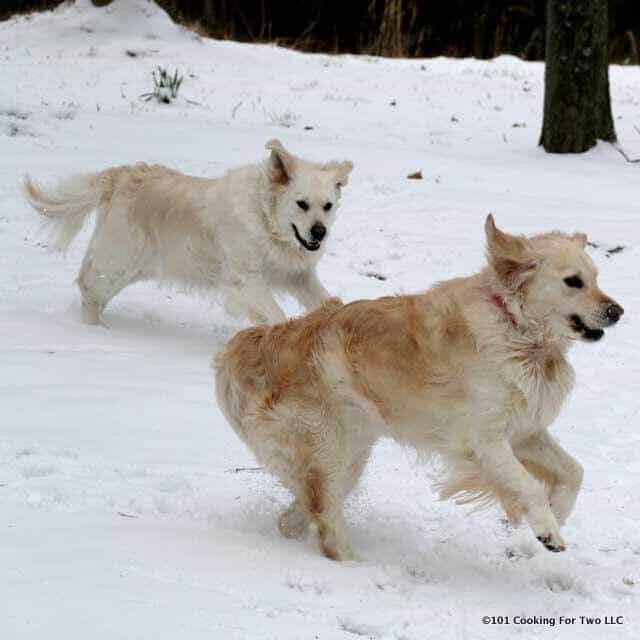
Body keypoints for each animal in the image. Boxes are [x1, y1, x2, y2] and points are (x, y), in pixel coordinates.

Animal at [25, 138, 352, 322]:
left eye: (327, 206)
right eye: (301, 204)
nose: (319, 233)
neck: (266, 221)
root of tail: (122, 175)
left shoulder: (298, 276)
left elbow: (327, 300)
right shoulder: (244, 278)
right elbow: (275, 314)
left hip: (137, 267)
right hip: (119, 259)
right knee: (88, 286)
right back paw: (94, 330)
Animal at [216, 216, 624, 560]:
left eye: (596, 278)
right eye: (573, 281)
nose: (617, 312)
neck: (516, 329)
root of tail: (251, 344)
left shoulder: (524, 432)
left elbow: (574, 471)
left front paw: (559, 512)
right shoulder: (484, 441)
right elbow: (528, 485)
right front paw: (547, 530)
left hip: (349, 457)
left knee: (302, 510)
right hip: (327, 448)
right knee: (326, 518)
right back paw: (352, 565)